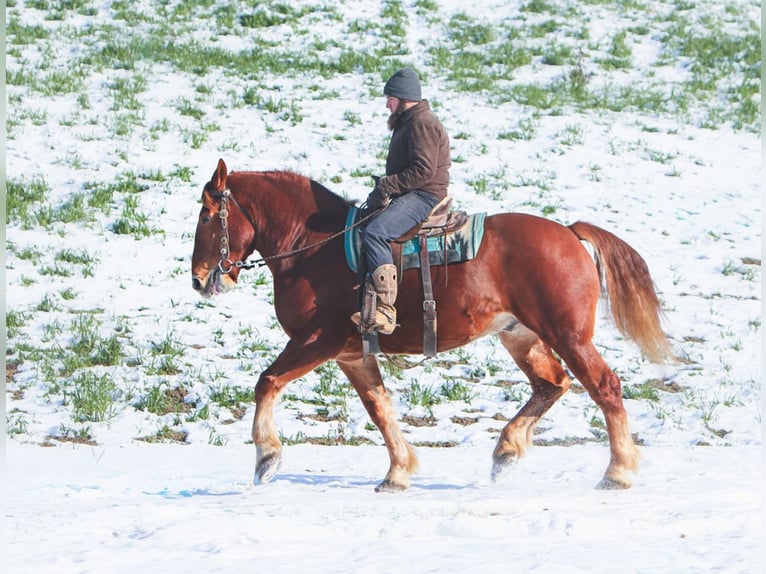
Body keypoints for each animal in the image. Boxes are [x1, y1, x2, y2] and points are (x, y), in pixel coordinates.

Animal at [191, 158, 673, 492]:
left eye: (206, 215)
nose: (198, 278)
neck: (312, 248)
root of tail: (570, 233)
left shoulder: (318, 341)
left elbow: (268, 381)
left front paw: (266, 458)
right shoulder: (351, 353)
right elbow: (379, 408)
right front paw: (398, 472)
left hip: (569, 336)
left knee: (604, 386)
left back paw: (618, 472)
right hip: (521, 336)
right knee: (551, 384)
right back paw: (507, 450)